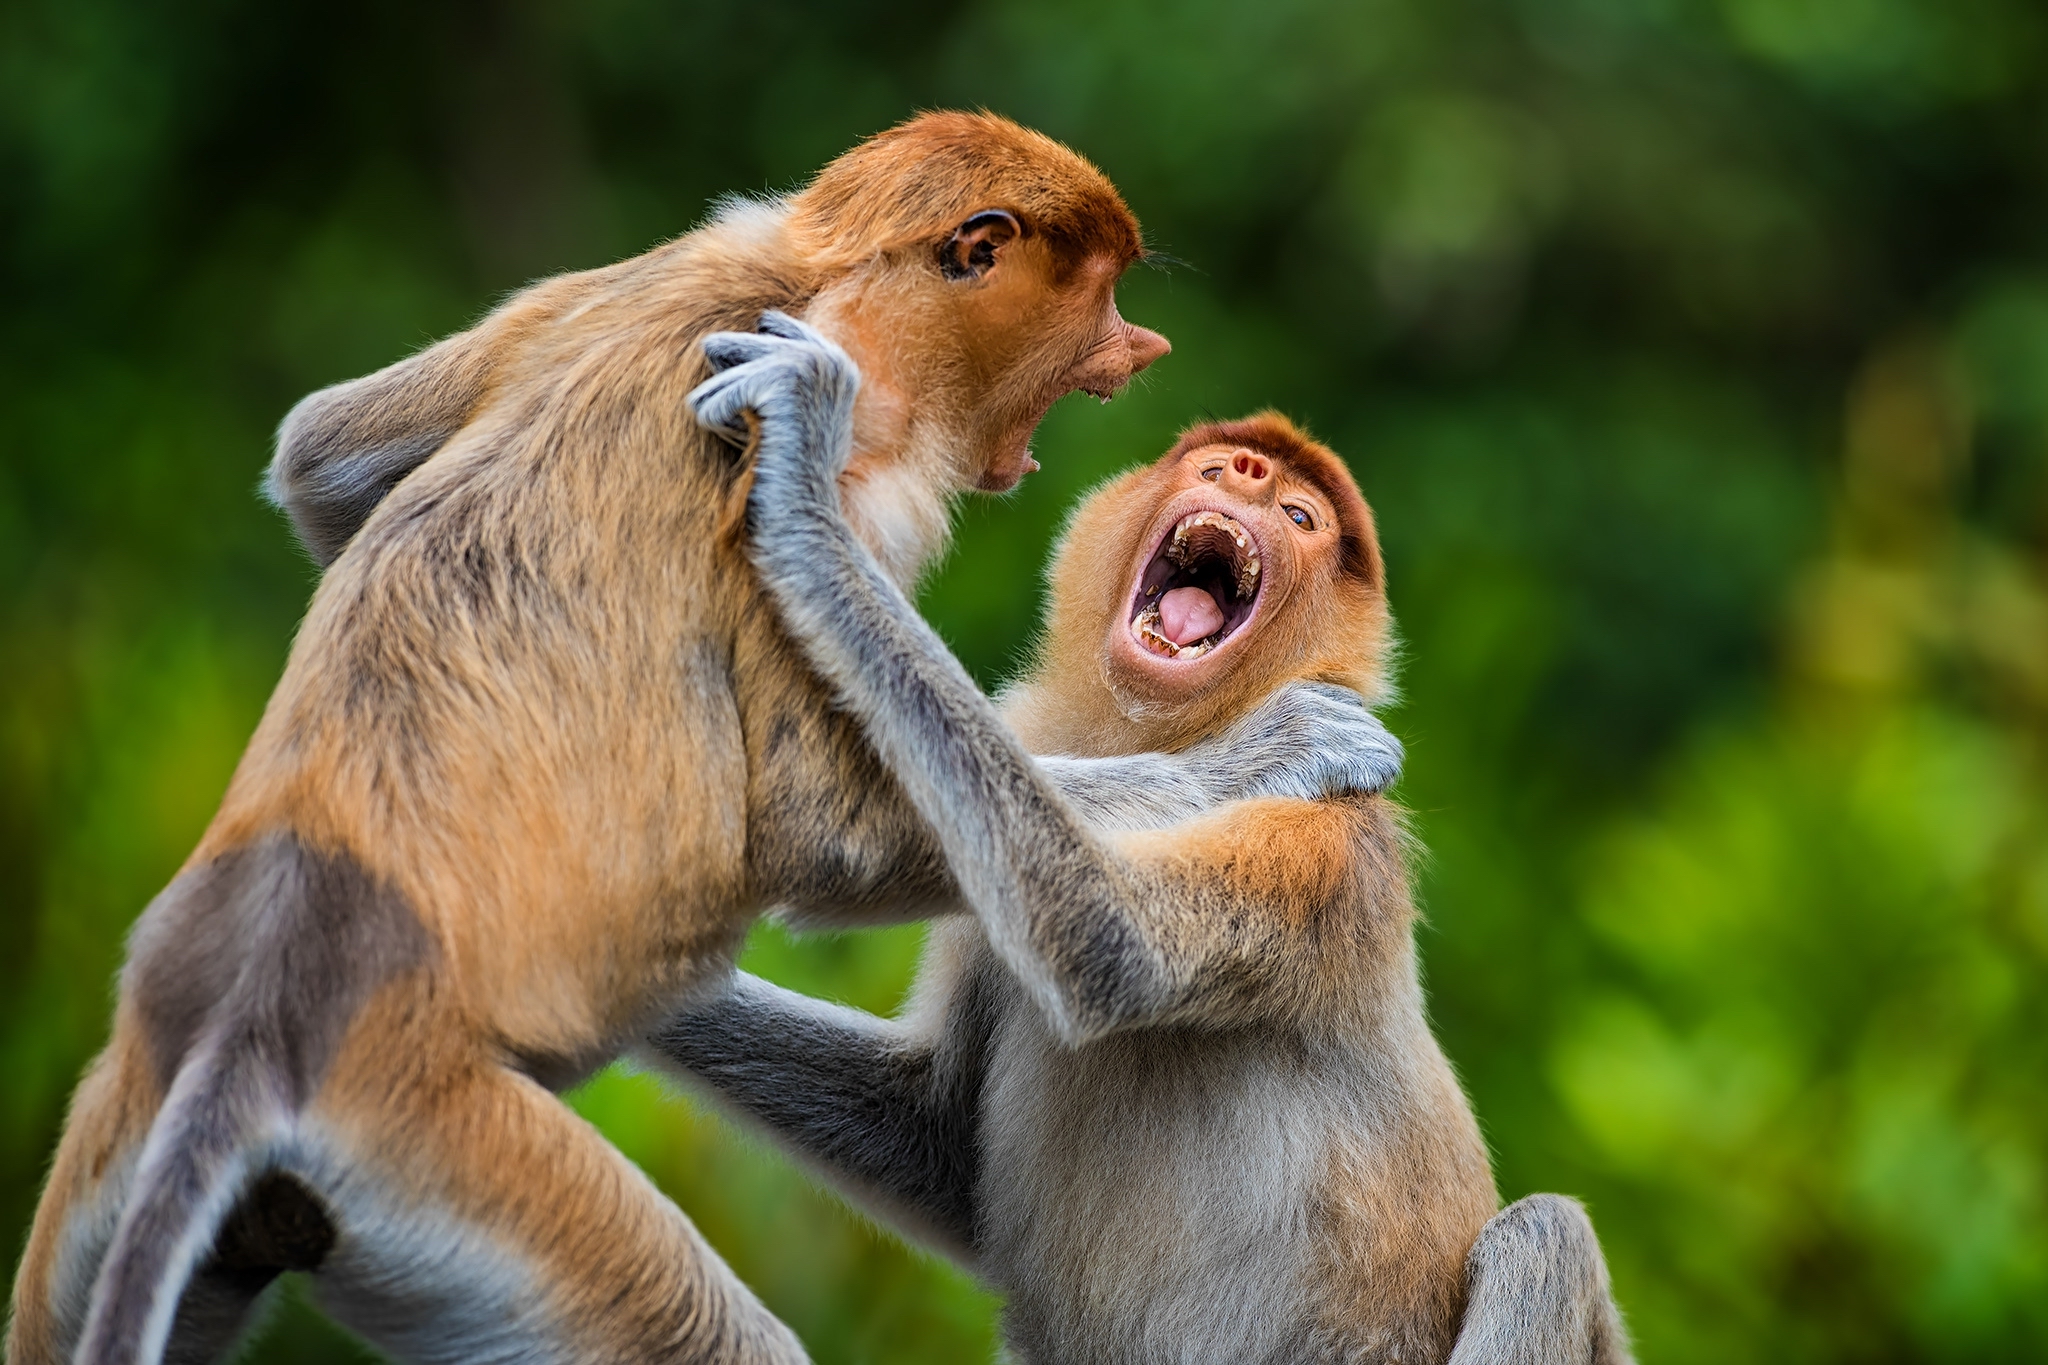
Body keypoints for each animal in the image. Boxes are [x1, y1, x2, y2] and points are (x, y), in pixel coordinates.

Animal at [0, 114, 1409, 1365]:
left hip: (116, 1159)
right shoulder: (845, 457)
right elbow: (823, 837)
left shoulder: (663, 265)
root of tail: (254, 1007)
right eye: (1101, 288)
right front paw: (1281, 745)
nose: (1141, 342)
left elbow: (324, 460)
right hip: (439, 1146)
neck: (816, 278)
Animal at [638, 315, 1630, 1358]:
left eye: (1305, 517)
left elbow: (1111, 944)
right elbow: (929, 1132)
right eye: (1220, 465)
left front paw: (802, 478)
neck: (1147, 724)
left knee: (1544, 1234)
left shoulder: (1332, 847)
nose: (1249, 475)